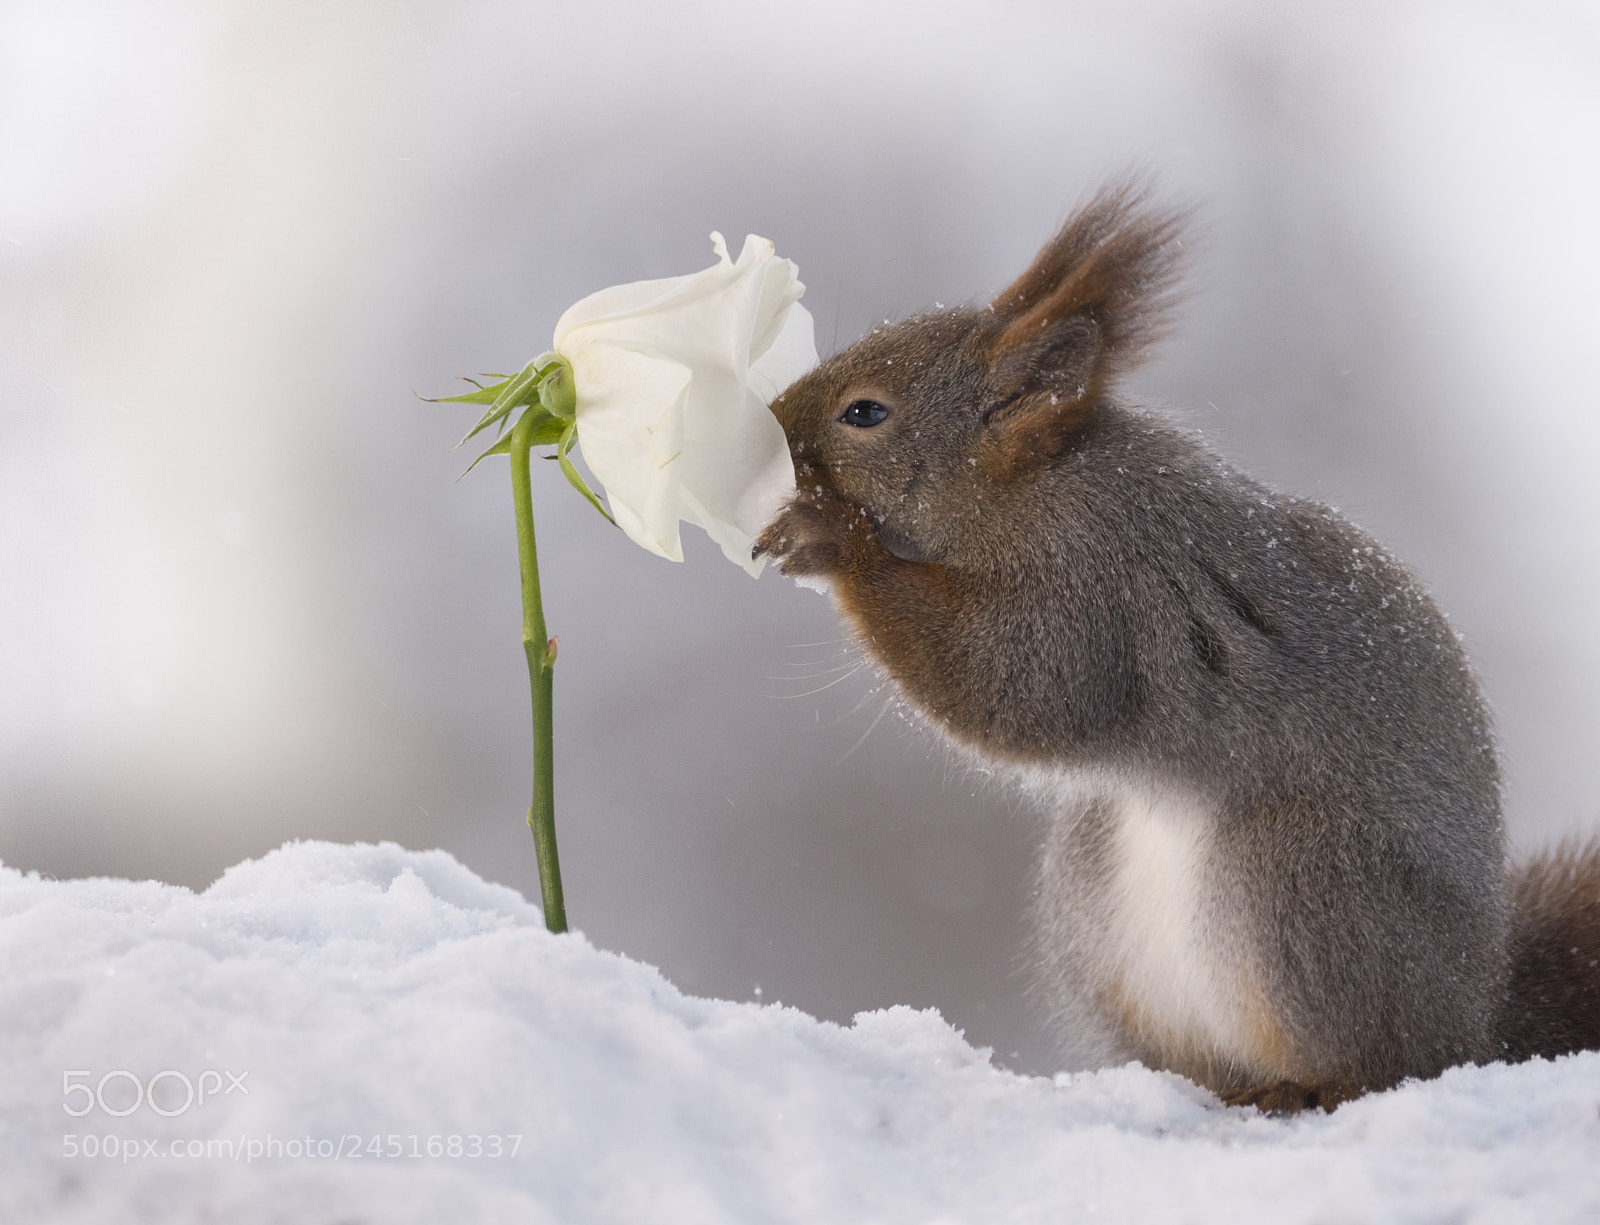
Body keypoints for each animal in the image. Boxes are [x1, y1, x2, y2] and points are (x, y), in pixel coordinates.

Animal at [752, 180, 1600, 1112]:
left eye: (865, 412)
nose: (770, 423)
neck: (1030, 490)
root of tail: (1480, 1023)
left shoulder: (1101, 584)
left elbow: (1017, 686)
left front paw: (834, 540)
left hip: (1304, 877)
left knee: (1386, 1060)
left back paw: (1310, 1084)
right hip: (1094, 905)